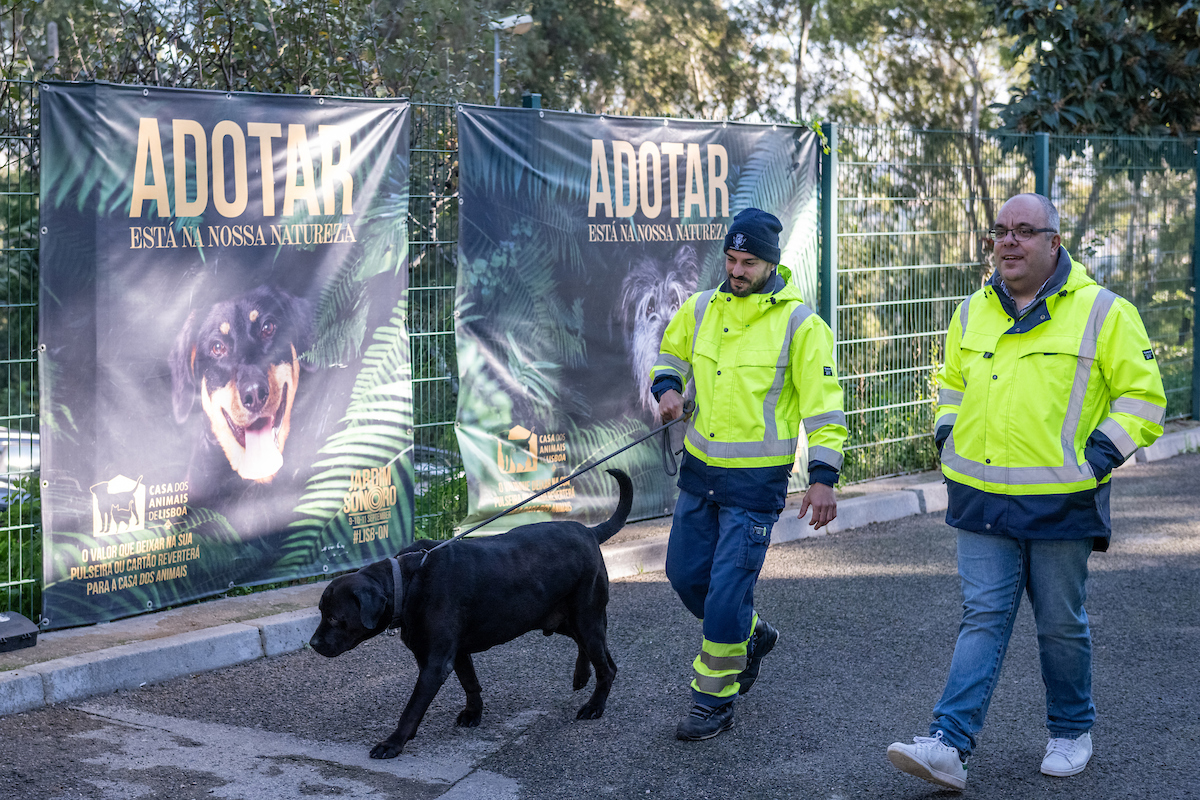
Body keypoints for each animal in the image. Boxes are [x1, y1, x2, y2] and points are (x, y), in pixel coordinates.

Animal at [309, 465, 633, 762]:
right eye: (321, 612)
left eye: (335, 618)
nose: (313, 644)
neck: (406, 582)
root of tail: (589, 530)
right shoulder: (456, 652)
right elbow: (470, 683)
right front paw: (473, 713)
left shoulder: (434, 663)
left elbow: (412, 709)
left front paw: (393, 743)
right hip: (562, 617)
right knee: (594, 651)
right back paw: (582, 675)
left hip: (585, 616)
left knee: (607, 665)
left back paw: (594, 706)